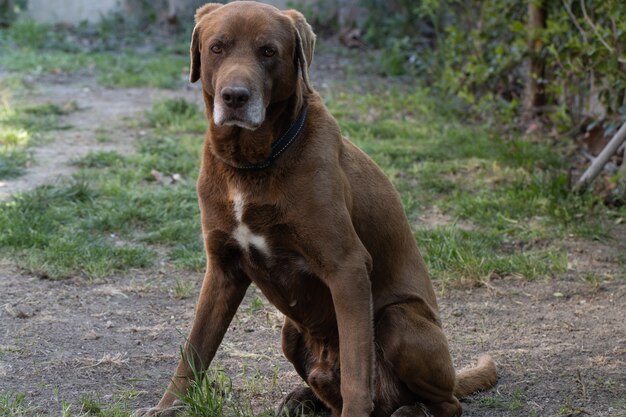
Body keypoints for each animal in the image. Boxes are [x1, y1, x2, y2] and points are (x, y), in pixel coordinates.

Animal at [135, 1, 492, 414]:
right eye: (217, 48)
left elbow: (356, 367)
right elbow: (193, 351)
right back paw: (302, 398)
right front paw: (167, 406)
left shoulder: (347, 268)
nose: (235, 96)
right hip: (290, 333)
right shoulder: (223, 268)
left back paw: (412, 410)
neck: (254, 164)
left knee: (445, 402)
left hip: (399, 321)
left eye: (268, 51)